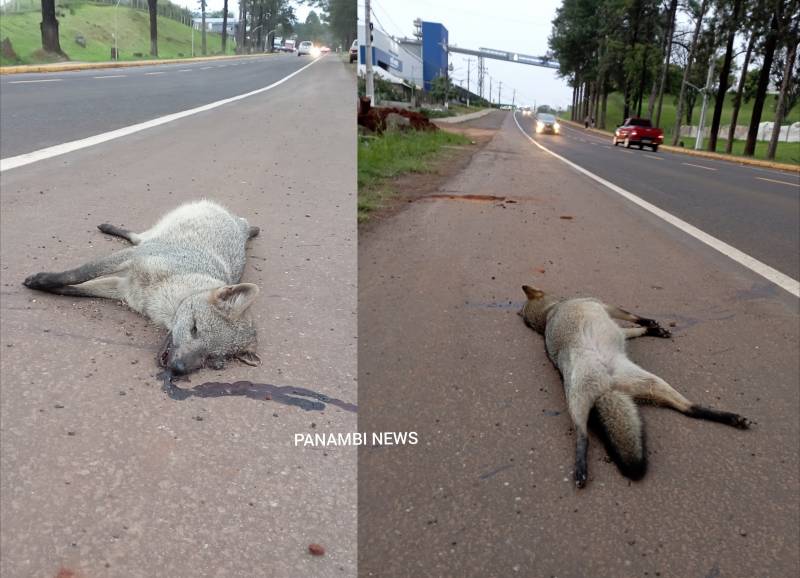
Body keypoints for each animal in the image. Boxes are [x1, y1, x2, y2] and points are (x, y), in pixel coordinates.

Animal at [520, 284, 752, 486]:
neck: (550, 313)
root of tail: (609, 387)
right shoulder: (604, 304)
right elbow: (633, 316)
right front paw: (650, 323)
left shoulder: (614, 322)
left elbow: (634, 328)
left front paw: (652, 330)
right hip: (578, 401)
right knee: (582, 435)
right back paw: (580, 466)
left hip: (651, 382)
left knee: (690, 410)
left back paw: (729, 417)